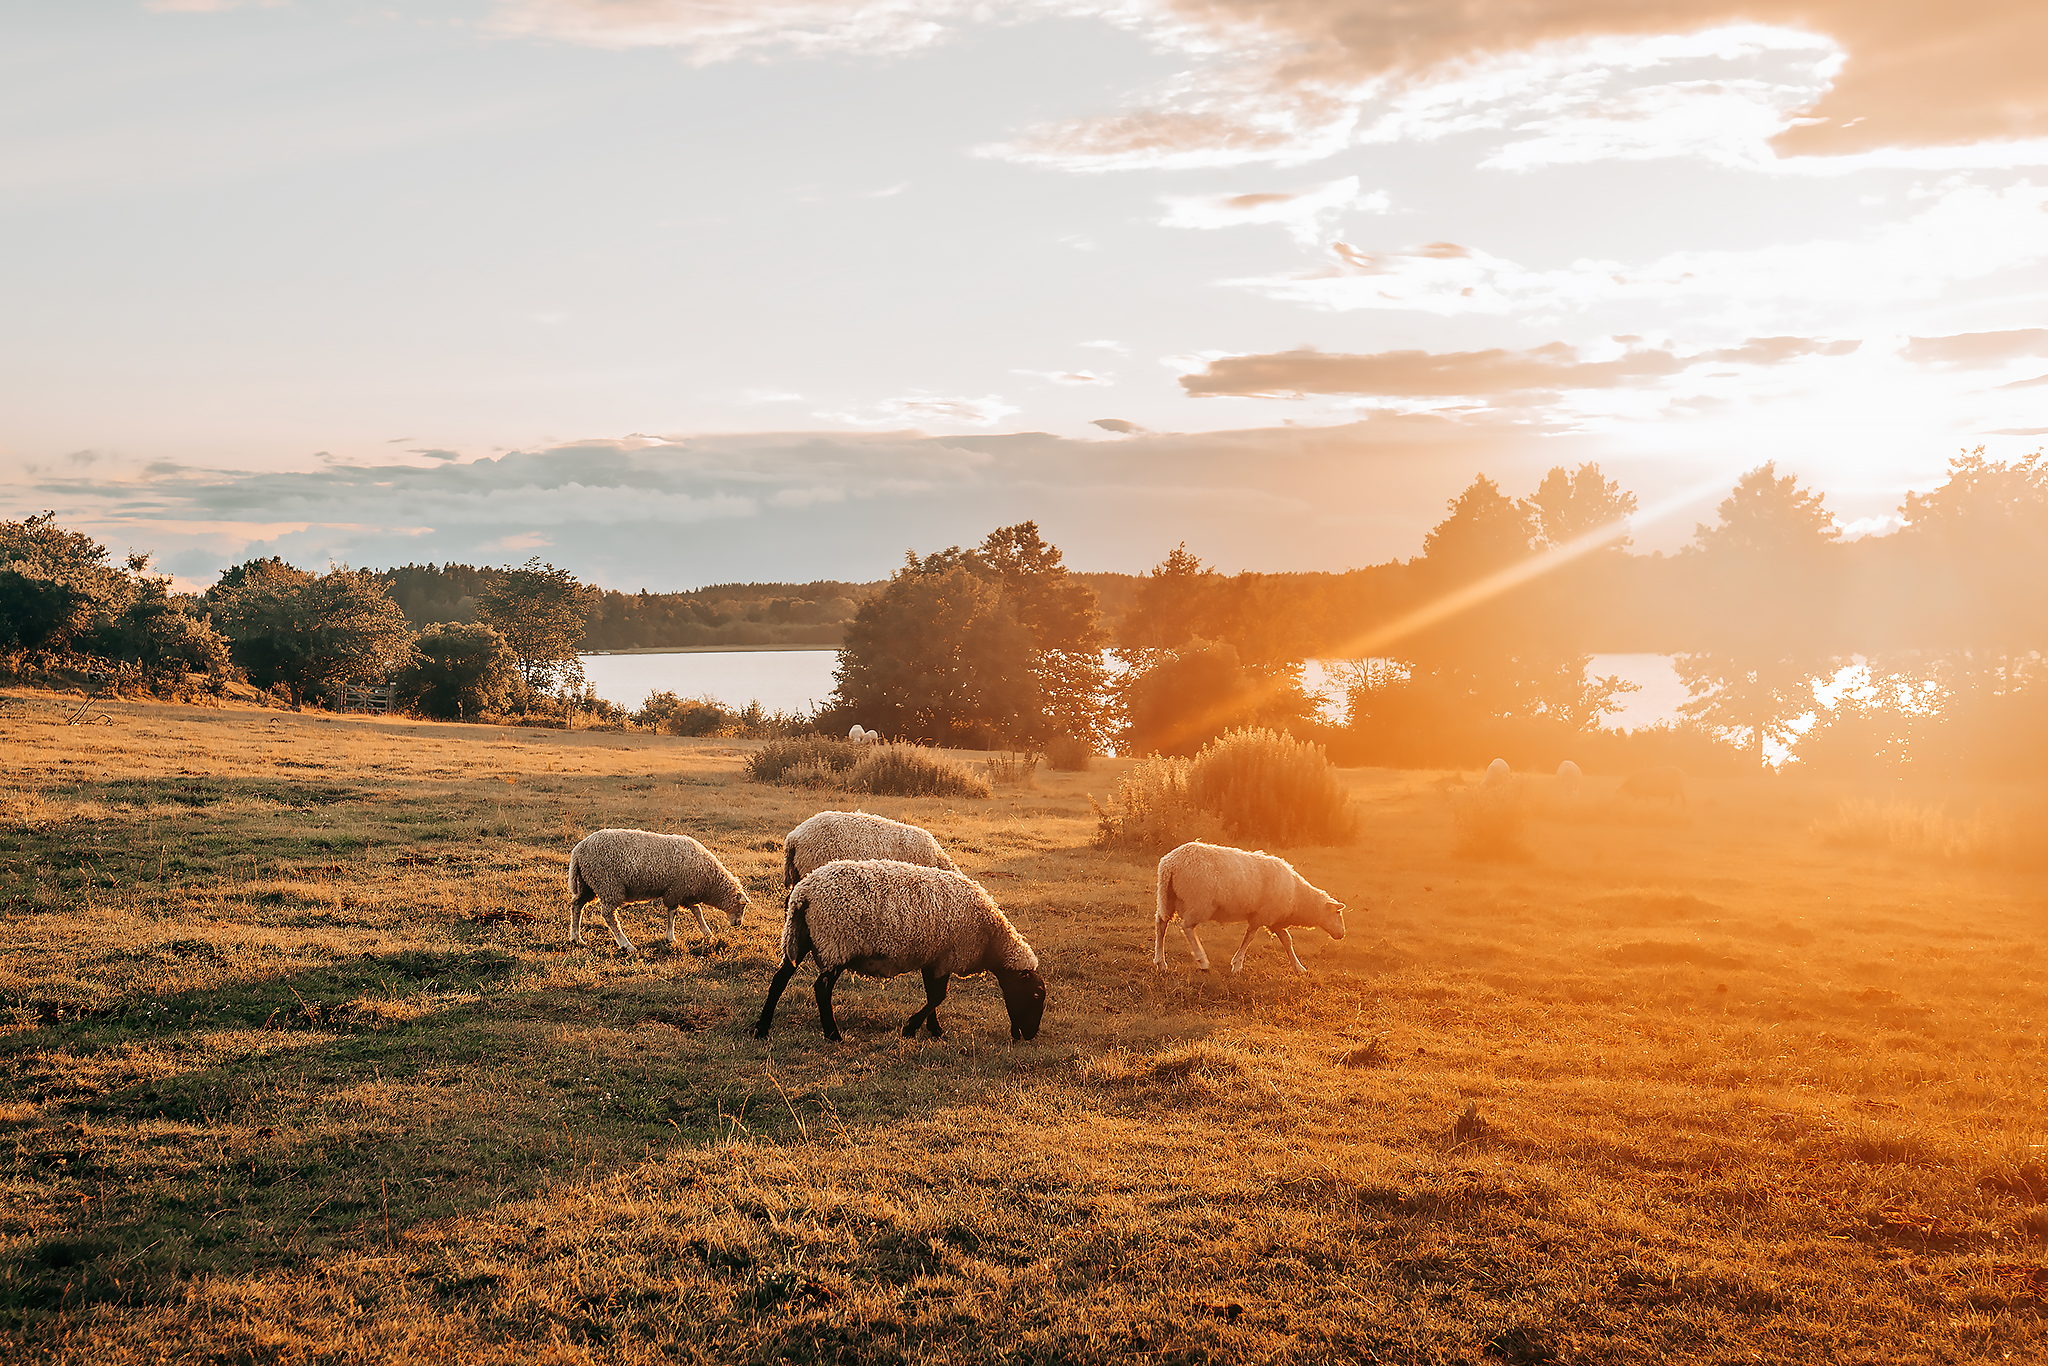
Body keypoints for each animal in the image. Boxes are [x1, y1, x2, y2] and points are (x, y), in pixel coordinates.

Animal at [569, 835, 753, 950]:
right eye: (741, 906)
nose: (738, 924)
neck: (709, 880)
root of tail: (578, 850)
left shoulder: (686, 892)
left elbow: (697, 911)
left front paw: (708, 933)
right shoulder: (675, 890)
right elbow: (673, 913)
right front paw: (670, 937)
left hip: (588, 884)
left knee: (577, 905)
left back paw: (576, 938)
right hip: (608, 884)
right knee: (609, 916)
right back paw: (626, 944)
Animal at [749, 864, 1040, 1048]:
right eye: (1037, 997)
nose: (1030, 1035)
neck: (991, 937)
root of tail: (804, 892)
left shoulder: (933, 957)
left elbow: (932, 994)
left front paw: (933, 1029)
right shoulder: (946, 956)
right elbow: (938, 995)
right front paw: (911, 1028)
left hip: (801, 937)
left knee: (779, 980)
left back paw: (762, 1029)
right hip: (837, 940)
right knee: (821, 988)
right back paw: (833, 1035)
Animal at [1155, 839, 1343, 978]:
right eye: (1337, 913)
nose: (1342, 934)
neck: (1298, 897)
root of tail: (1170, 864)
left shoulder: (1274, 918)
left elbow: (1287, 940)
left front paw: (1298, 967)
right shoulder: (1263, 915)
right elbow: (1250, 937)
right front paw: (1237, 964)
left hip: (1167, 898)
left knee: (1161, 924)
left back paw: (1160, 962)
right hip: (1198, 902)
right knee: (1186, 927)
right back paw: (1202, 961)